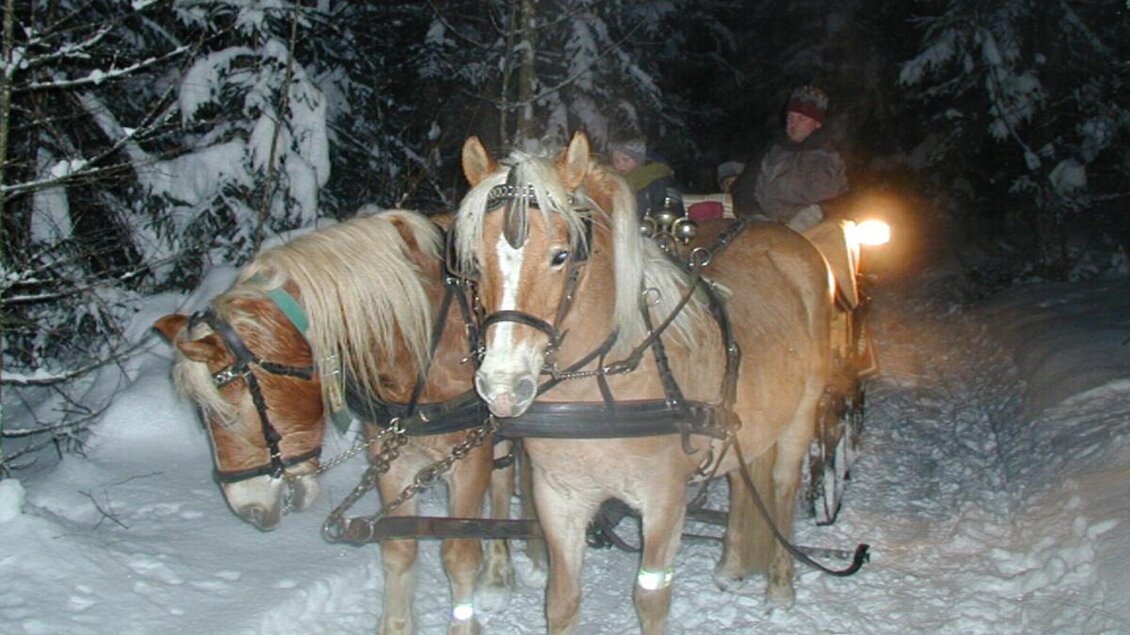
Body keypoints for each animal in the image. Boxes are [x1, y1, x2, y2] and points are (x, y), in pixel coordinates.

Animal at [153, 207, 514, 635]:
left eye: (229, 410)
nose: (247, 507)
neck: (424, 335)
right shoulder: (391, 455)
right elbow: (399, 549)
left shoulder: (470, 457)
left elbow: (460, 554)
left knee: (504, 479)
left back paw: (498, 574)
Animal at [452, 132, 834, 634]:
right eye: (476, 264)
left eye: (559, 256)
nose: (502, 386)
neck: (601, 390)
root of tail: (778, 231)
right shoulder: (559, 497)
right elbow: (562, 600)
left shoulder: (664, 499)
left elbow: (651, 600)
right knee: (739, 480)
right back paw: (731, 566)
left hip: (801, 417)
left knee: (783, 488)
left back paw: (780, 587)